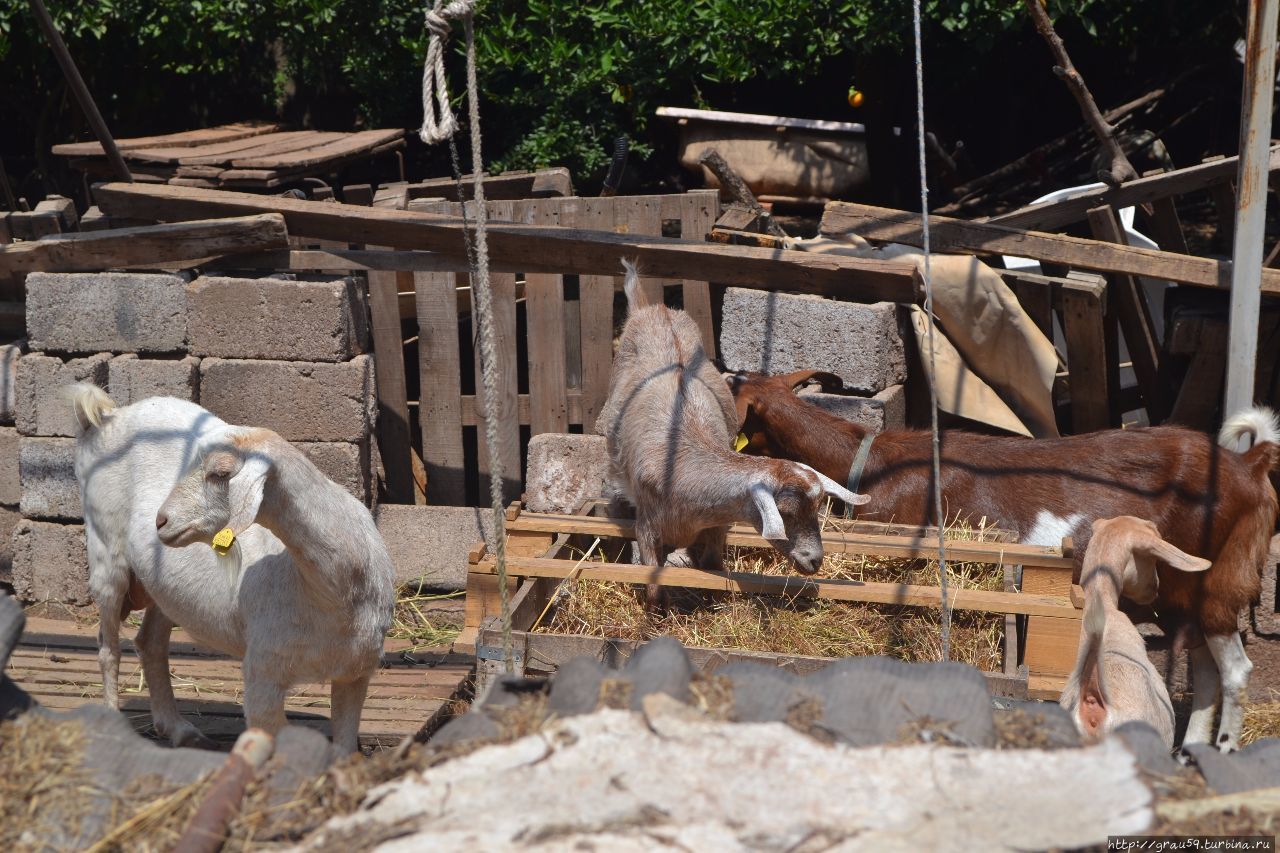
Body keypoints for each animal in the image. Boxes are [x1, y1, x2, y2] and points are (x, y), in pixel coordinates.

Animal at [68, 384, 389, 753]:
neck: (333, 592)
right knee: (108, 648)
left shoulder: (356, 672)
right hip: (106, 552)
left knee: (150, 642)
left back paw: (179, 729)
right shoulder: (262, 672)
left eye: (220, 473)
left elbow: (344, 749)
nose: (160, 521)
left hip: (166, 587)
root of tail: (107, 416)